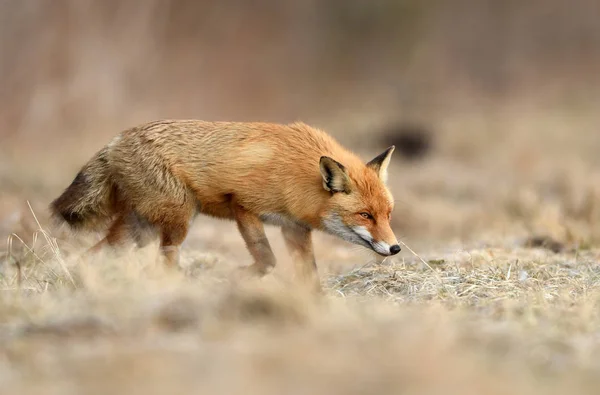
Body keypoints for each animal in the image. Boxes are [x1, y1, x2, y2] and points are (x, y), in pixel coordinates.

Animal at [49, 119, 400, 290]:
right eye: (365, 215)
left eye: (388, 214)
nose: (396, 248)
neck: (296, 176)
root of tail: (116, 140)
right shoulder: (244, 206)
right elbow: (267, 260)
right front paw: (236, 278)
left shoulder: (294, 228)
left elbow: (308, 274)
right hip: (177, 221)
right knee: (163, 262)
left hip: (140, 230)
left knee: (92, 254)